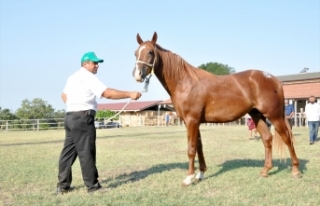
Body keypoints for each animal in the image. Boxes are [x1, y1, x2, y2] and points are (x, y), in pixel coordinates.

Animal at [131, 31, 302, 186]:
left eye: (150, 52)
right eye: (135, 53)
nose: (137, 75)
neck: (185, 83)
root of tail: (274, 80)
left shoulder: (192, 121)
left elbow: (191, 149)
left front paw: (188, 178)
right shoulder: (194, 122)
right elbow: (199, 147)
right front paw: (200, 174)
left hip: (274, 116)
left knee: (287, 138)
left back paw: (296, 171)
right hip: (257, 115)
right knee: (267, 139)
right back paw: (265, 171)